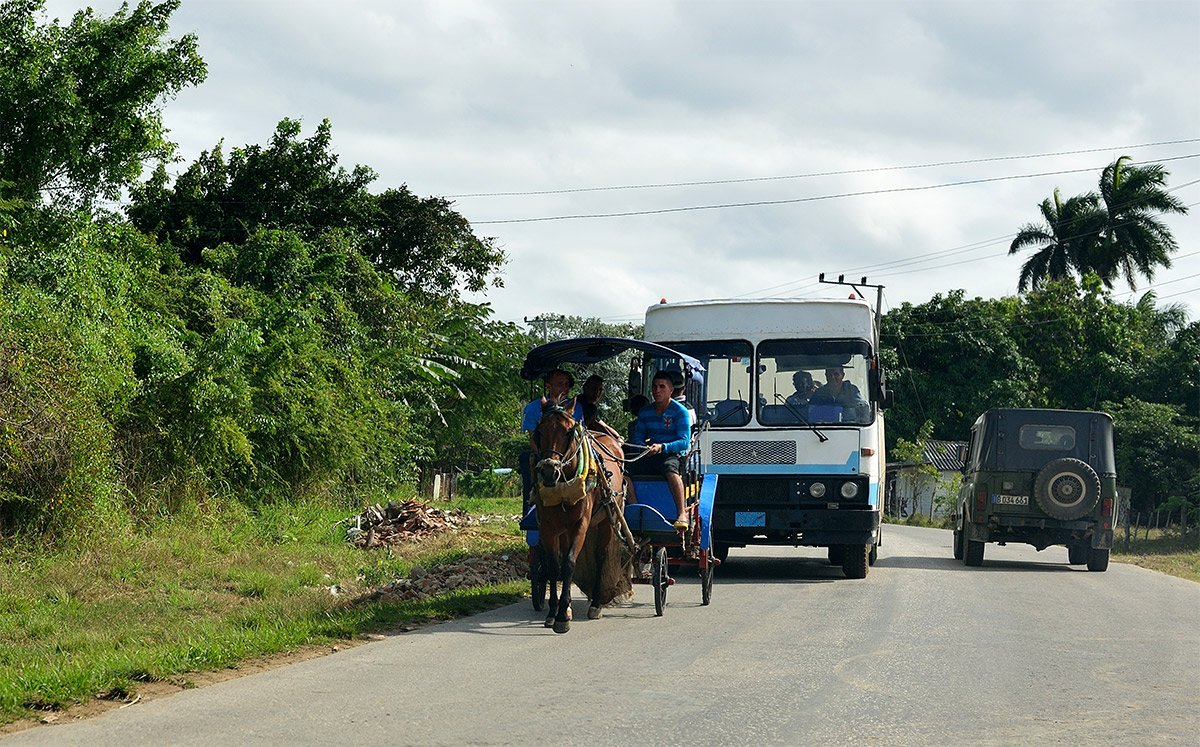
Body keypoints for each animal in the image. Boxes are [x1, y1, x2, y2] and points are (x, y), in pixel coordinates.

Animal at [530, 401, 633, 634]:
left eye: (569, 431)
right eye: (539, 431)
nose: (549, 471)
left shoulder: (581, 524)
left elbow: (569, 563)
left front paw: (562, 617)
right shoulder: (548, 527)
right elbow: (554, 566)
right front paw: (554, 612)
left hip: (607, 518)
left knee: (600, 556)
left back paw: (595, 604)